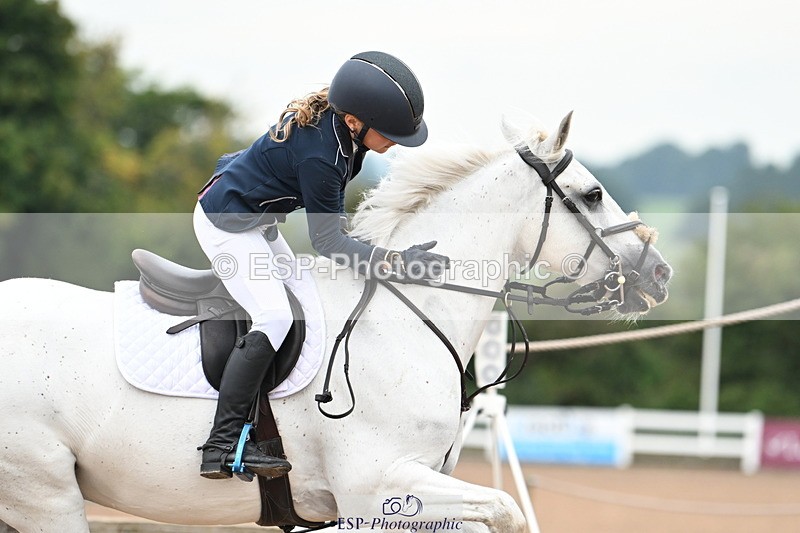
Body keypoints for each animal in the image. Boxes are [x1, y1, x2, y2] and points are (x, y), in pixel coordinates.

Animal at [0, 111, 672, 532]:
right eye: (591, 195)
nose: (659, 272)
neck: (409, 317)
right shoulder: (379, 486)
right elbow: (505, 508)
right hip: (43, 492)